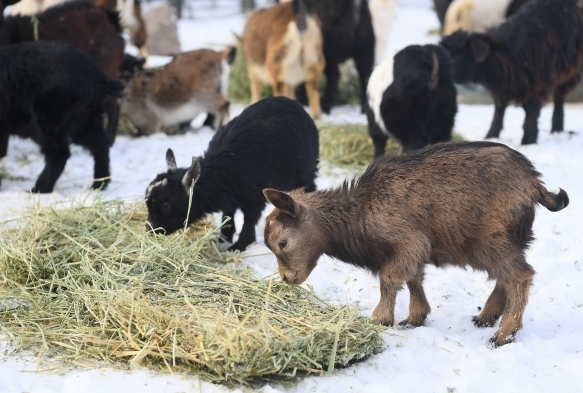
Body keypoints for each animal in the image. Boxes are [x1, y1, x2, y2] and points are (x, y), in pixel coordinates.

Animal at [442, 0, 583, 144]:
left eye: (457, 56)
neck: (511, 54)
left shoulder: (538, 84)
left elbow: (531, 113)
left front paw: (528, 140)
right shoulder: (502, 88)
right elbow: (498, 111)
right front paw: (491, 135)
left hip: (570, 72)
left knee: (559, 98)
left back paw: (557, 128)